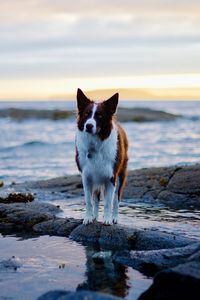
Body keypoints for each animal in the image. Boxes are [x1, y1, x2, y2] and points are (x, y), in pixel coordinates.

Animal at [75, 89, 128, 225]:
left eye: (99, 116)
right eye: (86, 114)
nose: (88, 126)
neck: (95, 144)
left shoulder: (111, 177)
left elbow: (109, 202)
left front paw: (108, 219)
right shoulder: (87, 176)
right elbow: (89, 201)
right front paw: (88, 217)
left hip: (121, 174)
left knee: (116, 198)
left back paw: (114, 217)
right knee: (96, 198)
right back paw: (94, 216)